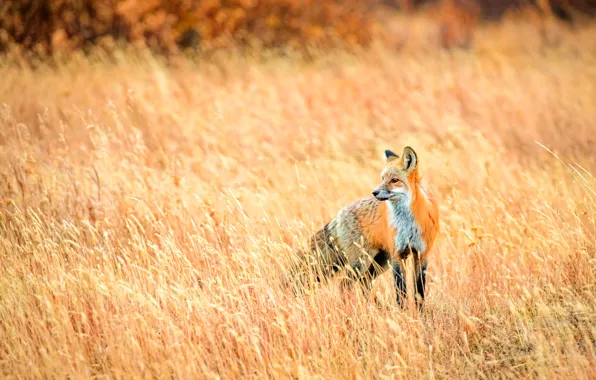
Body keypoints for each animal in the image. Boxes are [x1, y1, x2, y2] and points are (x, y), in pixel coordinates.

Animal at [292, 145, 440, 308]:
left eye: (394, 180)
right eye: (382, 179)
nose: (374, 192)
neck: (408, 224)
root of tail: (339, 214)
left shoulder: (422, 254)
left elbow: (419, 292)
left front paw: (419, 313)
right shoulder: (397, 255)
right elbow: (400, 289)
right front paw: (403, 312)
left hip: (380, 261)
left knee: (364, 282)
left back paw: (376, 307)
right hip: (362, 261)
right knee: (344, 284)